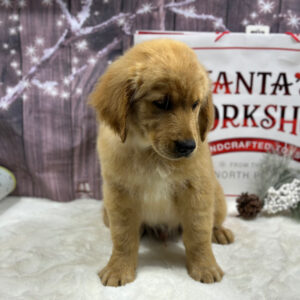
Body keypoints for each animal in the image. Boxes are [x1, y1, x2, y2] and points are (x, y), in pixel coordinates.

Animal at [89, 38, 234, 288]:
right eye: (161, 103)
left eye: (195, 104)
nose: (188, 146)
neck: (151, 153)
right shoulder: (119, 194)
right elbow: (123, 237)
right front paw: (118, 268)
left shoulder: (197, 190)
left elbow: (198, 233)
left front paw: (205, 267)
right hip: (107, 211)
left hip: (218, 197)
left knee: (213, 222)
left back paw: (220, 232)